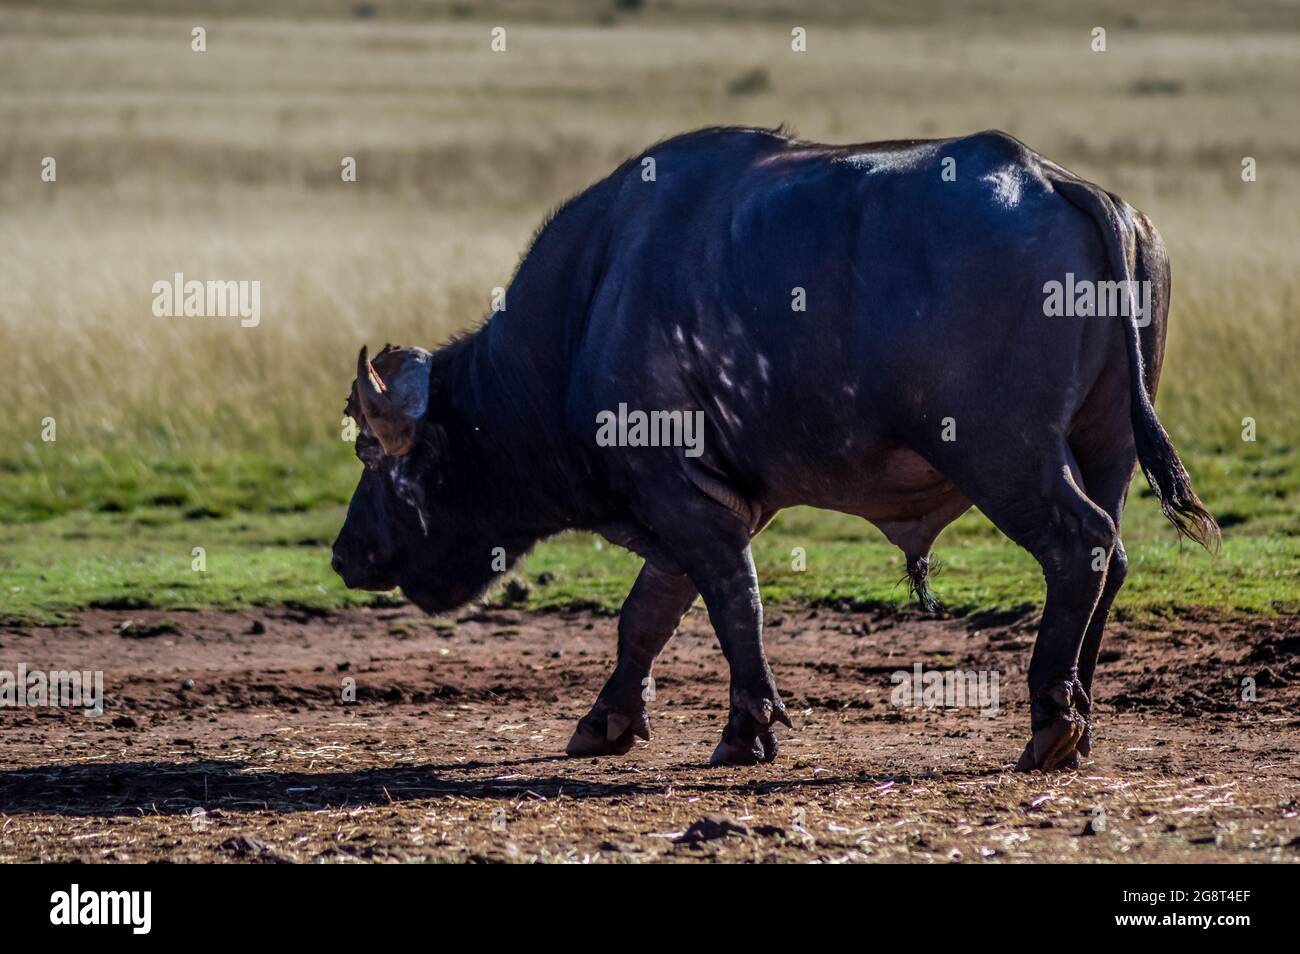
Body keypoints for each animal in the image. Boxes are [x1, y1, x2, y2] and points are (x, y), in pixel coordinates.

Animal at [332, 127, 1217, 770]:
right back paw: (1083, 719)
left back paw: (1051, 723)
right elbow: (647, 614)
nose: (344, 554)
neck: (584, 313)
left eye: (373, 455)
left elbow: (733, 605)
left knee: (1079, 546)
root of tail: (1062, 182)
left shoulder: (682, 497)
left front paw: (746, 728)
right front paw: (608, 720)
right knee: (1114, 557)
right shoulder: (707, 499)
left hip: (1007, 453)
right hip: (1104, 447)